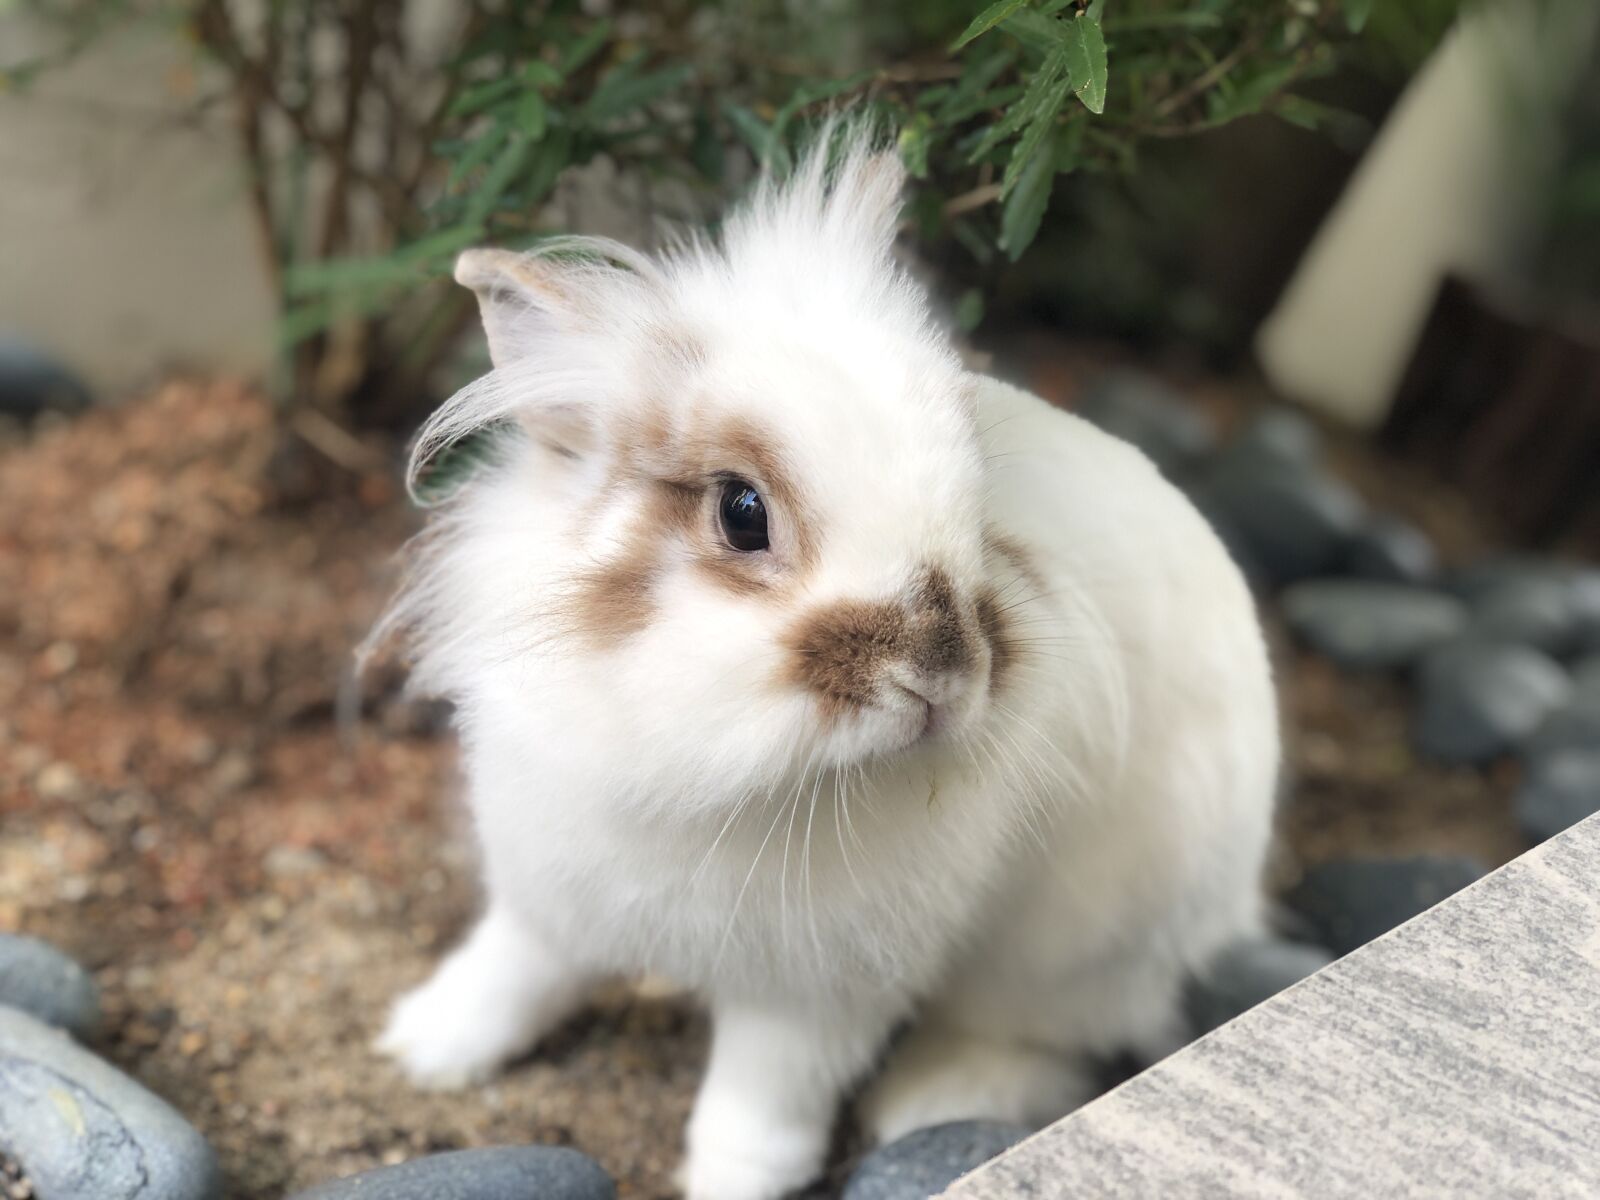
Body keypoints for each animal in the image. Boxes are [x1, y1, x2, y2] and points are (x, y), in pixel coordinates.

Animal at [372, 126, 1278, 1200]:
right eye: (741, 512)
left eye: (979, 511)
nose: (942, 678)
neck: (728, 784)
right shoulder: (550, 897)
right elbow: (510, 974)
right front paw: (420, 1049)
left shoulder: (817, 998)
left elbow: (758, 1107)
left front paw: (729, 1183)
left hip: (1072, 949)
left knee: (1038, 1037)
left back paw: (936, 1096)